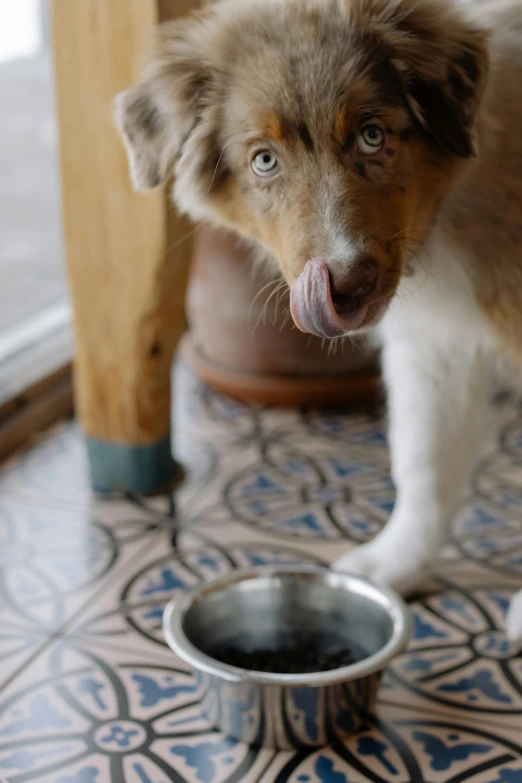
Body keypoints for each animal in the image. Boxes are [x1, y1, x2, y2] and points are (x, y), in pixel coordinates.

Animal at [116, 0, 520, 644]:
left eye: (372, 135)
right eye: (264, 161)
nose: (345, 288)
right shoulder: (434, 342)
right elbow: (424, 460)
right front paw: (393, 563)